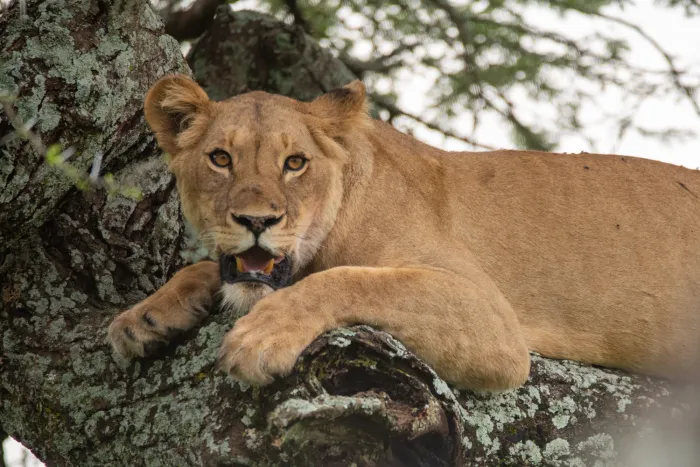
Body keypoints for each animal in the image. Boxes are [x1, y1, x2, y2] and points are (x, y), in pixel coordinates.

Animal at [108, 74, 700, 391]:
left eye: (295, 163)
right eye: (221, 158)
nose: (258, 222)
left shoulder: (492, 321)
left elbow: (349, 279)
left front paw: (261, 337)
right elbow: (205, 268)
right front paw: (144, 317)